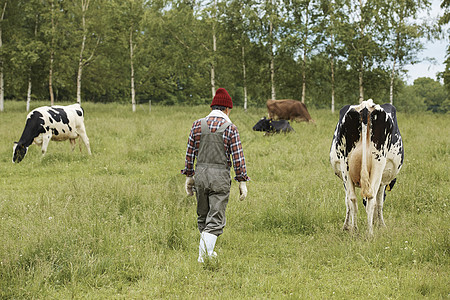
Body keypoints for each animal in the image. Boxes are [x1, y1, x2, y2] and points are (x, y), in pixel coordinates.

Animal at [328, 99, 406, 236]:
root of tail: (366, 106)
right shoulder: (383, 180)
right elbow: (379, 202)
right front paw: (380, 224)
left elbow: (348, 201)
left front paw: (347, 226)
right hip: (378, 163)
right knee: (371, 198)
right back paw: (369, 233)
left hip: (345, 164)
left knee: (353, 199)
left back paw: (355, 230)